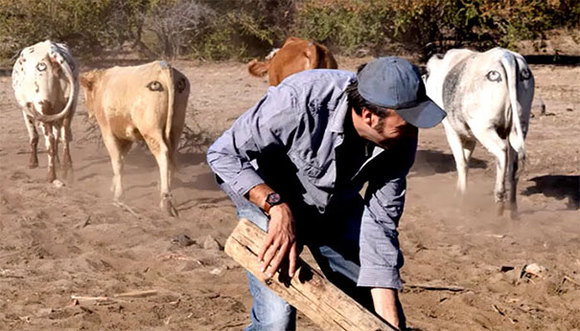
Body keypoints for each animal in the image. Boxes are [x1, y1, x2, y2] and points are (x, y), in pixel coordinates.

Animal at [12, 40, 79, 184]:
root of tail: (52, 52)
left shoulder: (27, 112)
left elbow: (34, 136)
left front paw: (33, 163)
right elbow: (58, 137)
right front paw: (59, 164)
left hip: (42, 108)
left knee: (50, 140)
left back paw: (51, 176)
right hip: (70, 107)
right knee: (64, 137)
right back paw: (68, 170)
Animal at [80, 61, 190, 218]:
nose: (89, 111)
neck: (103, 82)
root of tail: (162, 67)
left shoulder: (108, 132)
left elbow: (117, 162)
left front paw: (118, 195)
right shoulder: (127, 137)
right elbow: (122, 158)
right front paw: (114, 185)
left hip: (150, 130)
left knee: (162, 153)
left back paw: (165, 200)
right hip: (176, 128)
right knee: (172, 154)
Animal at [422, 46, 536, 218]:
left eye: (427, 72)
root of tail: (505, 55)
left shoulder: (451, 131)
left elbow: (461, 163)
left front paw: (461, 198)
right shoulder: (470, 138)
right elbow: (466, 161)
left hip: (484, 128)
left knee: (501, 152)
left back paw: (499, 199)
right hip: (519, 127)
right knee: (513, 165)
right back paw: (512, 208)